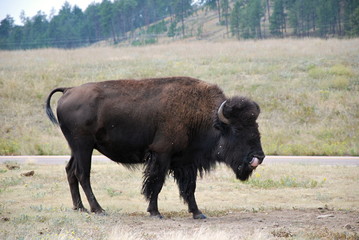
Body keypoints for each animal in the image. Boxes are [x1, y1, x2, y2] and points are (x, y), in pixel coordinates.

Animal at [45, 77, 264, 219]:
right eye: (237, 129)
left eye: (255, 125)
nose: (259, 157)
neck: (204, 117)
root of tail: (69, 89)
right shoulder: (162, 154)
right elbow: (156, 183)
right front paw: (155, 212)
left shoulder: (187, 161)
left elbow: (189, 188)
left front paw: (198, 213)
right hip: (83, 146)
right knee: (83, 174)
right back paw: (98, 209)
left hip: (77, 148)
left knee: (70, 170)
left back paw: (79, 208)